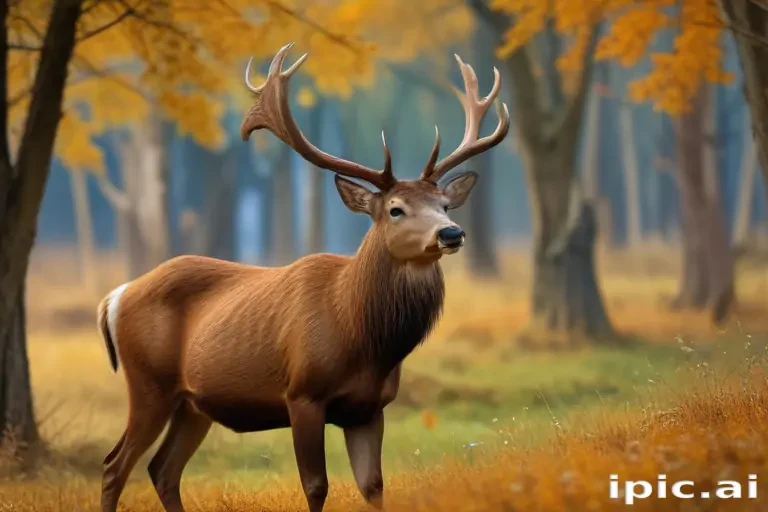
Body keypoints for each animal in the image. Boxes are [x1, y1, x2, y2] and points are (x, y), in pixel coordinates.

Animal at [97, 42, 509, 512]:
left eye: (444, 204)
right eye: (395, 209)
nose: (452, 233)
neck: (362, 337)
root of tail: (115, 297)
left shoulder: (370, 407)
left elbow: (373, 486)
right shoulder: (302, 394)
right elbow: (315, 486)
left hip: (192, 403)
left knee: (162, 469)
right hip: (149, 383)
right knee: (114, 466)